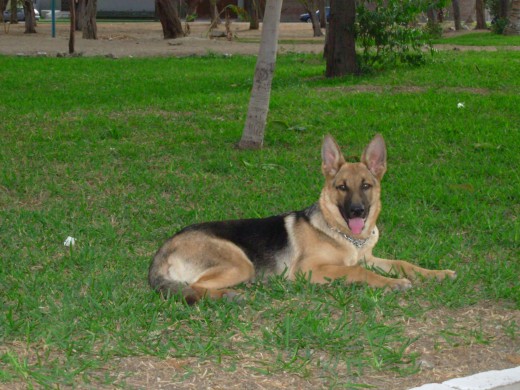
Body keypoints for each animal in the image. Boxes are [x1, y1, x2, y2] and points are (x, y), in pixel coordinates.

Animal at [149, 136, 456, 304]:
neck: (345, 236)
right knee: (193, 288)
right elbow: (358, 271)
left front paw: (437, 273)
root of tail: (162, 250)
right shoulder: (310, 270)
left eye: (366, 186)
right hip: (240, 262)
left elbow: (403, 263)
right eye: (341, 187)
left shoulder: (368, 256)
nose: (357, 212)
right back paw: (229, 295)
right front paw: (391, 284)